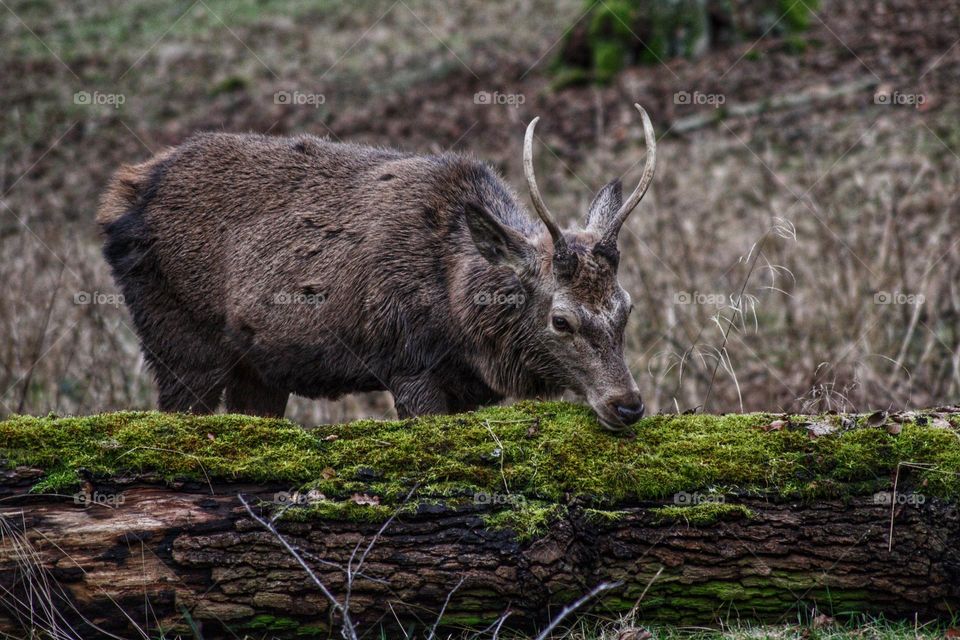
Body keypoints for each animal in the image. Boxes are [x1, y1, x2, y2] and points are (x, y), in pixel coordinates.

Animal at [97, 103, 656, 430]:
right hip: (177, 337)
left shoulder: (469, 390)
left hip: (259, 366)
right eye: (561, 319)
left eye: (627, 307)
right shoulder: (405, 362)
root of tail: (118, 199)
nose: (628, 404)